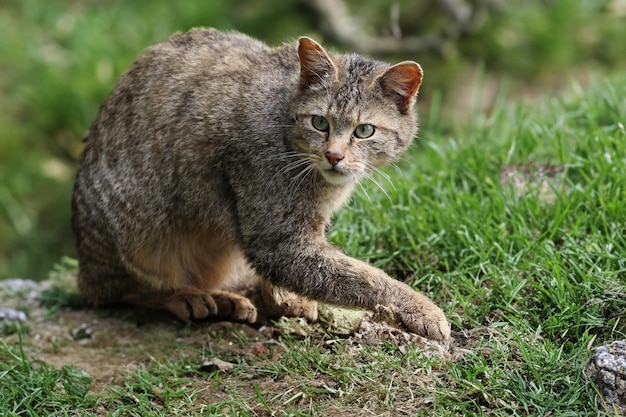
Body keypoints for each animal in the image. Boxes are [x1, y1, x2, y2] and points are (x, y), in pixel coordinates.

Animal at [72, 29, 448, 342]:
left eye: (364, 131)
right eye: (319, 122)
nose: (334, 155)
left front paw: (285, 295)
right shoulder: (277, 239)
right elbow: (366, 277)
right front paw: (422, 309)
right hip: (136, 233)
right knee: (119, 291)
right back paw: (188, 296)